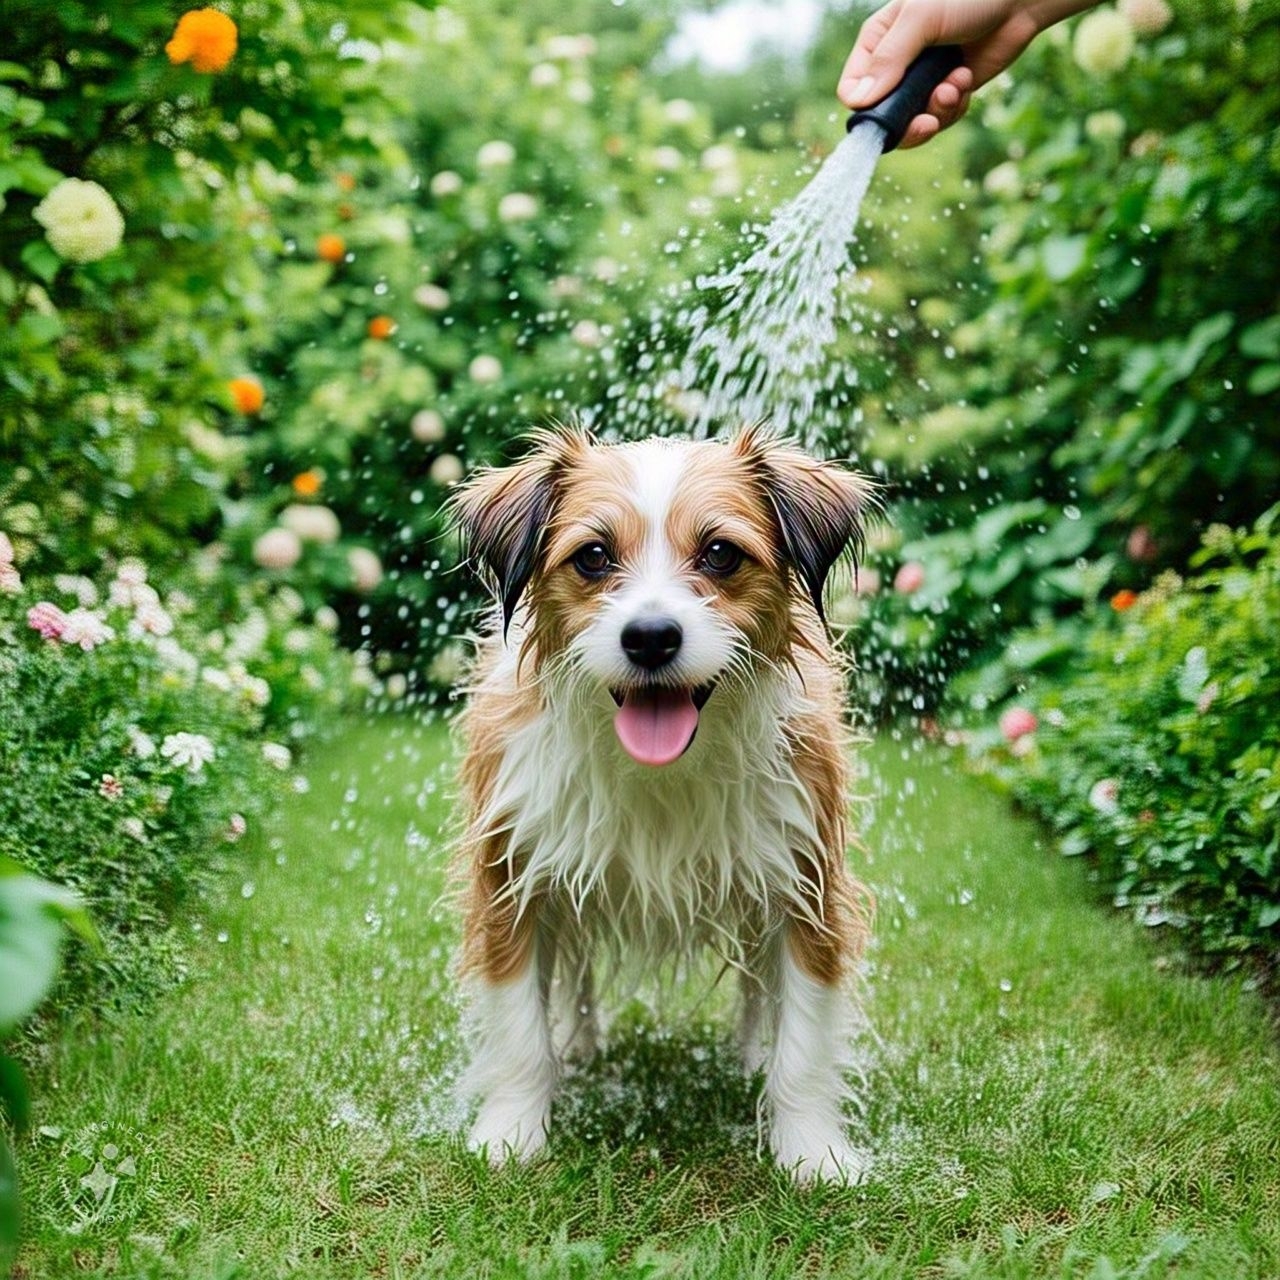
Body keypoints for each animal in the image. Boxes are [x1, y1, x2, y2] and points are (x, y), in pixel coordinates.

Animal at [445, 422, 875, 1177]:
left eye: (720, 553)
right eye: (592, 556)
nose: (649, 636)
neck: (661, 771)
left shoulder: (809, 883)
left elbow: (803, 1039)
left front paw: (811, 1150)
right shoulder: (511, 878)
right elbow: (519, 1023)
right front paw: (512, 1132)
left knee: (758, 988)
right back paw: (578, 1046)